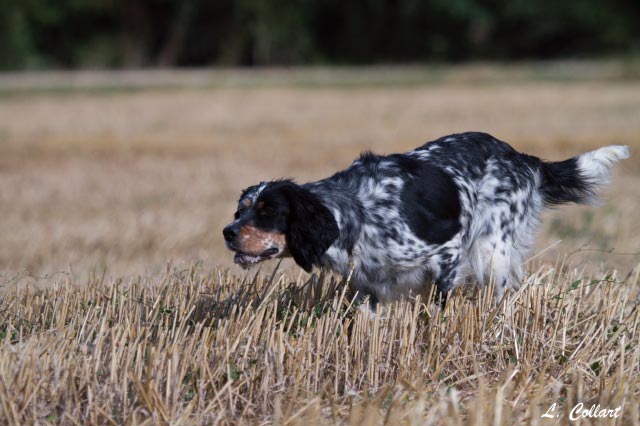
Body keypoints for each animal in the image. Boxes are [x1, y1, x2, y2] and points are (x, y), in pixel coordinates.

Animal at [222, 131, 628, 304]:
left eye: (268, 211)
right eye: (241, 210)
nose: (228, 232)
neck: (355, 211)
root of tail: (522, 157)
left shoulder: (446, 251)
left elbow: (437, 309)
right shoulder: (372, 283)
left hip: (491, 250)